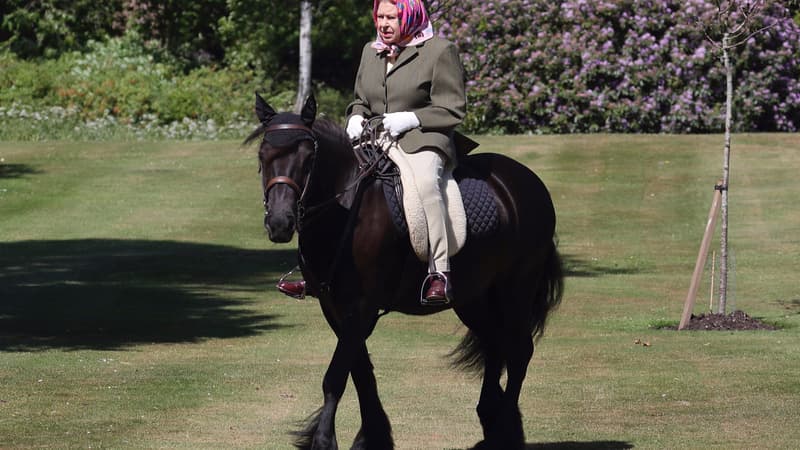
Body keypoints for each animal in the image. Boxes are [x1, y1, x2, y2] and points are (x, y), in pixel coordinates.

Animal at [244, 93, 564, 448]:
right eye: (263, 155)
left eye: (308, 157)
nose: (280, 223)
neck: (346, 209)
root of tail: (527, 181)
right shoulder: (335, 307)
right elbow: (360, 372)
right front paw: (371, 437)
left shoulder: (361, 306)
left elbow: (336, 376)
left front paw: (324, 441)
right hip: (474, 297)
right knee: (495, 343)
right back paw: (490, 423)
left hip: (516, 288)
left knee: (519, 351)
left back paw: (505, 429)